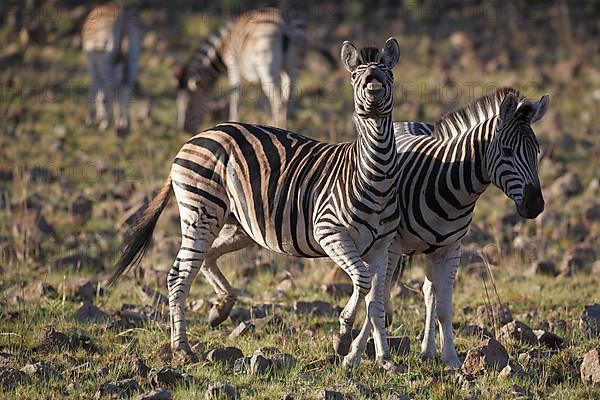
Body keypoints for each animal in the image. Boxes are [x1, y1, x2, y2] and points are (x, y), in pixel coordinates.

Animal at [81, 1, 142, 137]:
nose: (99, 117)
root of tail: (123, 21)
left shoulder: (92, 62)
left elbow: (94, 89)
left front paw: (90, 119)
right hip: (132, 59)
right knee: (125, 87)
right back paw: (124, 125)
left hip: (104, 59)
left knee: (111, 88)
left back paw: (107, 123)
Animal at [111, 39, 404, 370]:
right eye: (355, 77)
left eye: (389, 74)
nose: (373, 84)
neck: (376, 174)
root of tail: (194, 138)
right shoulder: (329, 231)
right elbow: (363, 282)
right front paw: (342, 339)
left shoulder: (381, 246)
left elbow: (375, 300)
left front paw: (385, 360)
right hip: (202, 212)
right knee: (179, 276)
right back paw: (183, 349)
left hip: (239, 225)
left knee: (206, 256)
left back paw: (220, 308)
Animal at [177, 7, 338, 133]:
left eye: (189, 105)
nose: (184, 130)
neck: (223, 46)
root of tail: (286, 24)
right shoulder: (260, 77)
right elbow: (263, 101)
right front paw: (266, 124)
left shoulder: (234, 66)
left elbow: (236, 97)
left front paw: (233, 121)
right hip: (293, 67)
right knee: (286, 99)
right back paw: (284, 127)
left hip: (267, 66)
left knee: (279, 102)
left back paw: (281, 127)